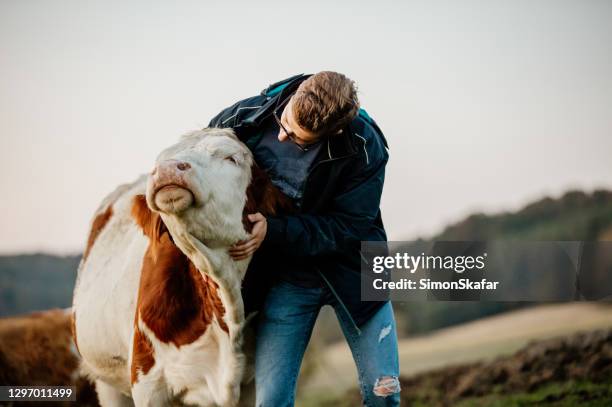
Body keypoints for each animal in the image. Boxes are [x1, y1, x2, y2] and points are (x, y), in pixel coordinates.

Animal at [70, 128, 290, 407]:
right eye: (161, 159)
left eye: (231, 158)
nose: (166, 169)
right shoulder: (146, 380)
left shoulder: (250, 385)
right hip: (106, 382)